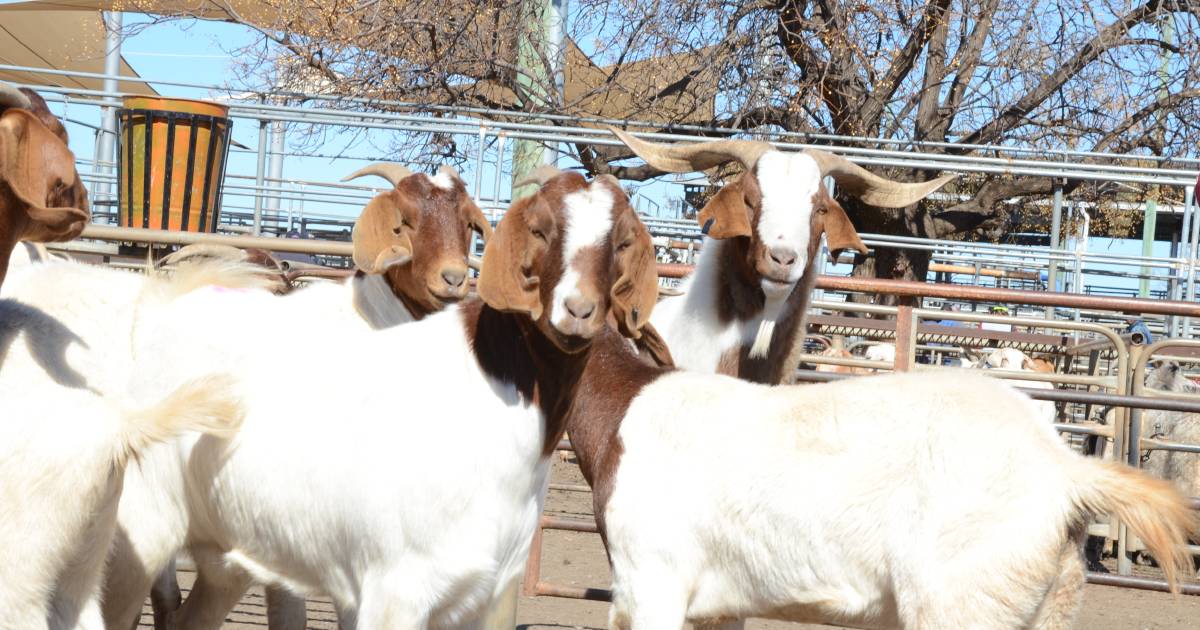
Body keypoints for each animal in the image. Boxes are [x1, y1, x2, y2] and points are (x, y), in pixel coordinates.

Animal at [564, 333, 1200, 628]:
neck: (623, 406)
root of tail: (1062, 468)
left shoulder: (652, 582)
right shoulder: (716, 605)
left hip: (960, 601)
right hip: (1051, 600)